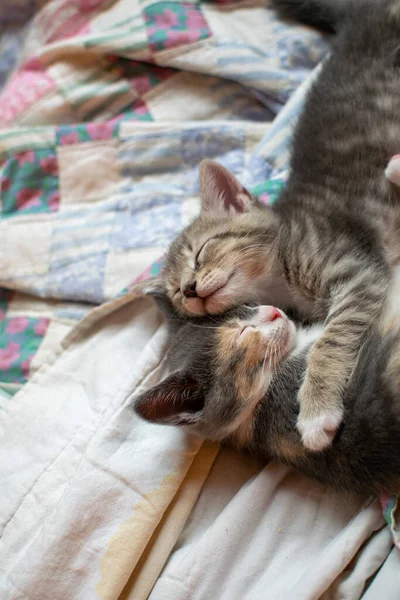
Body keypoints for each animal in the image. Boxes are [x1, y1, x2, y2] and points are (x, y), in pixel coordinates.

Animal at [163, 0, 400, 450]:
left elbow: (333, 335)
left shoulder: (356, 269)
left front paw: (316, 409)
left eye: (201, 253)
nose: (191, 289)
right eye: (176, 294)